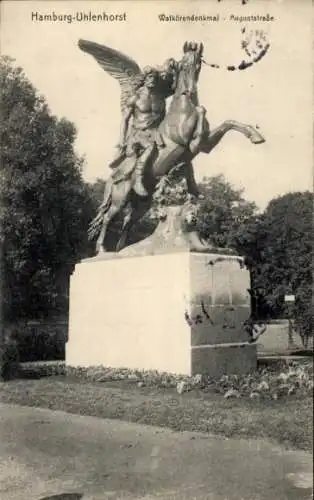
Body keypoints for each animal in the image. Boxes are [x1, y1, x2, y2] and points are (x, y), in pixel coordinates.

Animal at [86, 40, 264, 254]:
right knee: (107, 219)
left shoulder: (206, 145)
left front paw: (255, 136)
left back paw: (124, 250)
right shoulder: (189, 142)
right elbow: (201, 115)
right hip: (120, 198)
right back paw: (103, 250)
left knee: (128, 221)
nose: (193, 47)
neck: (183, 107)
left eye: (196, 62)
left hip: (142, 204)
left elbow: (229, 122)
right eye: (183, 64)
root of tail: (113, 175)